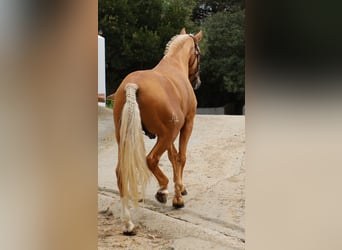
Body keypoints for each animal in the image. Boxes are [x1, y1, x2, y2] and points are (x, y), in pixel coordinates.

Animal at [113, 27, 202, 234]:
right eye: (199, 53)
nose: (197, 82)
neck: (174, 64)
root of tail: (132, 85)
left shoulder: (168, 135)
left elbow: (173, 156)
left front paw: (180, 190)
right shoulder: (186, 125)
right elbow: (181, 157)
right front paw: (178, 197)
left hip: (125, 138)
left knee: (121, 172)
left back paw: (128, 223)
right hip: (167, 134)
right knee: (151, 159)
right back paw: (162, 190)